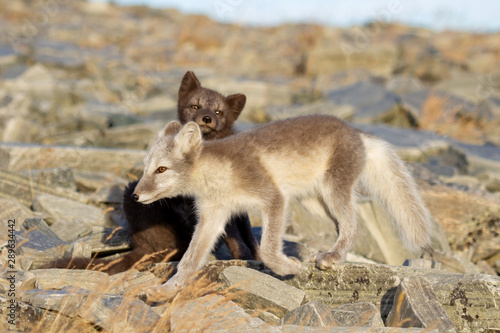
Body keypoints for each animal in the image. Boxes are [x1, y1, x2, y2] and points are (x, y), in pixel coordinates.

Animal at [135, 115, 436, 300]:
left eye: (161, 170)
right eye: (146, 168)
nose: (136, 195)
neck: (217, 176)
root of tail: (355, 130)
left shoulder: (274, 198)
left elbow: (268, 250)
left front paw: (287, 268)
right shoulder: (212, 218)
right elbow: (188, 261)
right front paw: (166, 291)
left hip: (332, 191)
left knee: (353, 224)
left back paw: (332, 257)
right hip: (314, 203)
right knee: (346, 225)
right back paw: (335, 254)